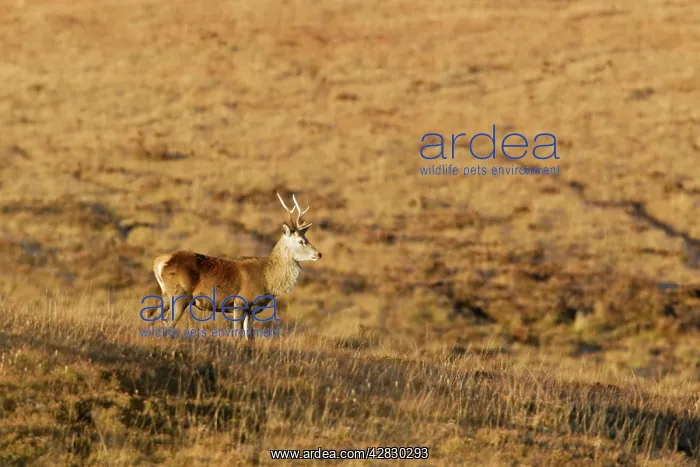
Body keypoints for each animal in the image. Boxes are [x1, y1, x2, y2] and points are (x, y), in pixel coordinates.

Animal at [147, 192, 322, 339]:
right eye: (301, 241)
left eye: (307, 238)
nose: (319, 254)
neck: (267, 280)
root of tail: (159, 262)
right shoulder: (240, 302)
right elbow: (237, 334)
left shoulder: (252, 309)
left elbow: (250, 337)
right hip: (180, 294)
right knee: (168, 323)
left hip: (166, 294)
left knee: (151, 315)